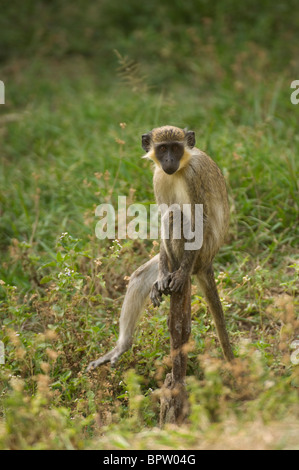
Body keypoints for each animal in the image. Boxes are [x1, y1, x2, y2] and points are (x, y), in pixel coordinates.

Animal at [88, 125, 236, 370]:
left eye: (175, 148)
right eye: (163, 149)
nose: (168, 160)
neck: (180, 169)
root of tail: (208, 262)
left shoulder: (193, 176)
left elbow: (200, 220)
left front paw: (180, 274)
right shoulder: (158, 177)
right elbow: (162, 218)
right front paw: (162, 276)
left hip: (199, 256)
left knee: (176, 216)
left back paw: (180, 272)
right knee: (140, 275)